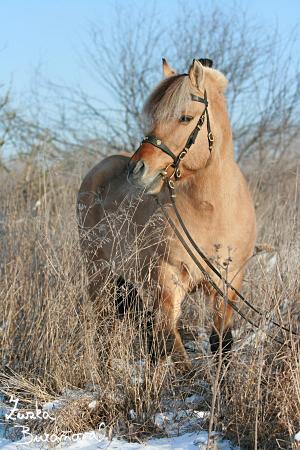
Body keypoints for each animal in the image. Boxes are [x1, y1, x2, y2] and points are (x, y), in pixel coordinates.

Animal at [77, 59, 255, 370]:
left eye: (185, 117)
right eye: (154, 116)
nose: (137, 170)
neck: (213, 211)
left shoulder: (229, 282)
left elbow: (221, 343)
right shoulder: (168, 280)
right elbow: (174, 346)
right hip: (99, 274)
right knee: (105, 325)